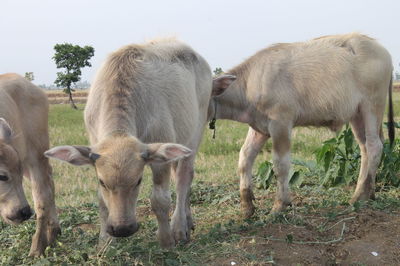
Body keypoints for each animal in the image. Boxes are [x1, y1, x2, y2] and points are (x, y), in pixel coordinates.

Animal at [0, 74, 60, 256]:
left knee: (43, 196)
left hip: (36, 154)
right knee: (50, 182)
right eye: (2, 176)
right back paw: (53, 231)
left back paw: (38, 247)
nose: (24, 212)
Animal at [211, 32, 396, 217]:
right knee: (364, 147)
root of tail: (380, 49)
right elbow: (245, 157)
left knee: (374, 146)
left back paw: (360, 196)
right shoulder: (259, 127)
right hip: (356, 114)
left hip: (372, 106)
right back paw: (366, 192)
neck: (249, 83)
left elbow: (281, 164)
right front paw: (246, 207)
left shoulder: (281, 123)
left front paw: (280, 205)